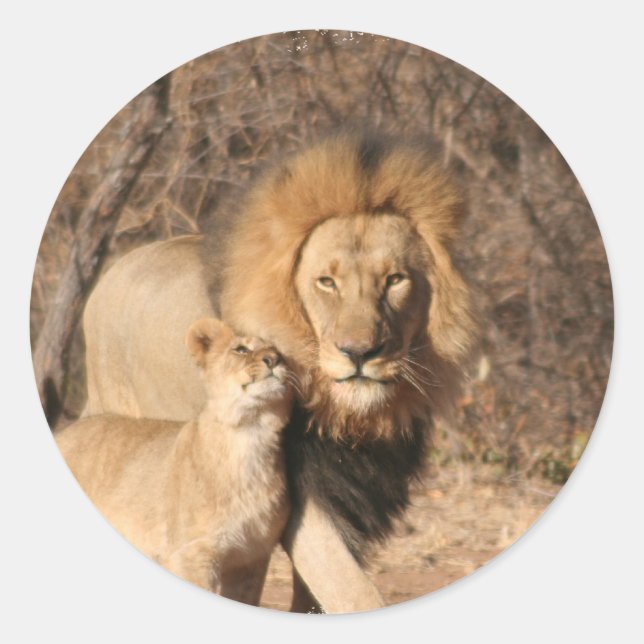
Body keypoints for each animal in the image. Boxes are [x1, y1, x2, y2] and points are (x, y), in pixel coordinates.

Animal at [57, 318, 293, 605]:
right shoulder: (191, 554)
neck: (251, 434)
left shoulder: (250, 560)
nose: (273, 359)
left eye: (280, 352)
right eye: (241, 349)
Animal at [82, 132, 476, 613]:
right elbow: (354, 593)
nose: (359, 352)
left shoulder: (354, 496)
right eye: (327, 282)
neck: (352, 419)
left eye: (395, 280)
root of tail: (113, 271)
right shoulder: (301, 502)